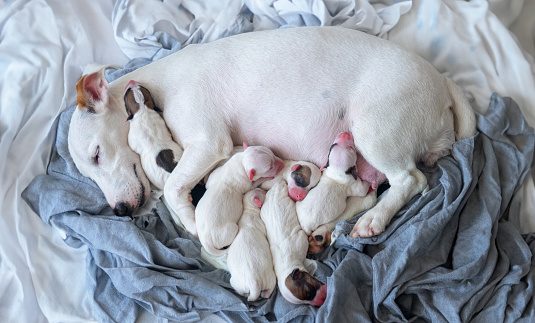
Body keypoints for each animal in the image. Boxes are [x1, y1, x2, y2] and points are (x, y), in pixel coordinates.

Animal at [69, 26, 476, 238]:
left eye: (97, 154)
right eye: (88, 172)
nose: (120, 211)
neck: (155, 85)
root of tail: (442, 81)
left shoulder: (209, 143)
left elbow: (171, 189)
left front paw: (191, 220)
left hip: (375, 133)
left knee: (411, 180)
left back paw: (374, 220)